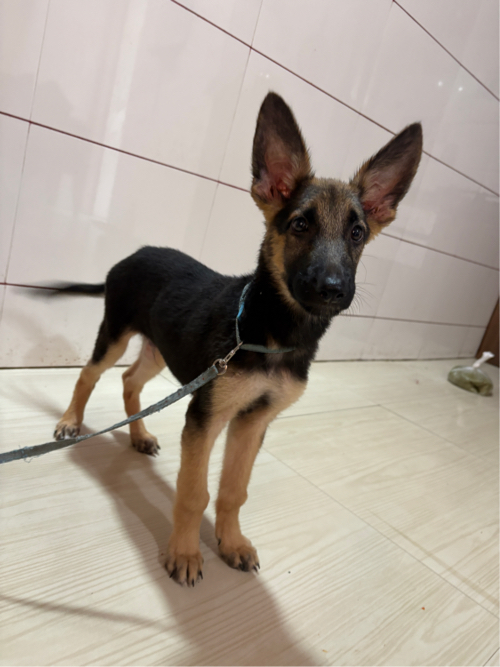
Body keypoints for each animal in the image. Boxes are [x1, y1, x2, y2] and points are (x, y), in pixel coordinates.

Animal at [52, 93, 422, 586]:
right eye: (300, 225)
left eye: (357, 233)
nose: (333, 289)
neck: (273, 334)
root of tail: (136, 253)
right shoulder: (206, 416)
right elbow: (195, 493)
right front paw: (186, 552)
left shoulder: (252, 422)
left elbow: (234, 490)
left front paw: (231, 542)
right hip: (115, 333)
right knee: (89, 375)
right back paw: (70, 422)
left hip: (161, 348)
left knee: (130, 380)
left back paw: (140, 435)